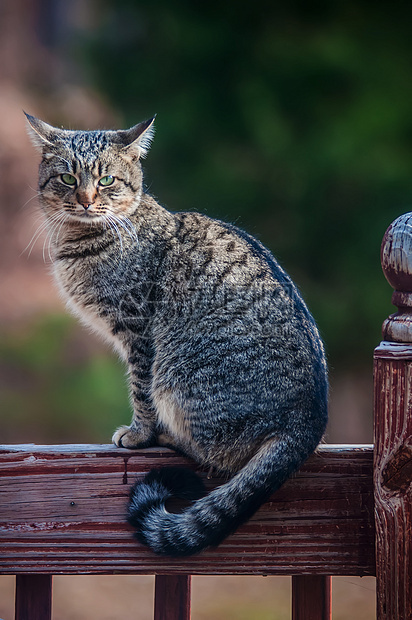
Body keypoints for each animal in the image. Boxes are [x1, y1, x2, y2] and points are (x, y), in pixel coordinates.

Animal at [25, 112, 328, 556]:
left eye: (106, 180)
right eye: (67, 178)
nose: (84, 200)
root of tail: (309, 422)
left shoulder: (138, 331)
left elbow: (140, 390)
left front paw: (139, 434)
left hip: (177, 375)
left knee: (218, 454)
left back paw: (170, 437)